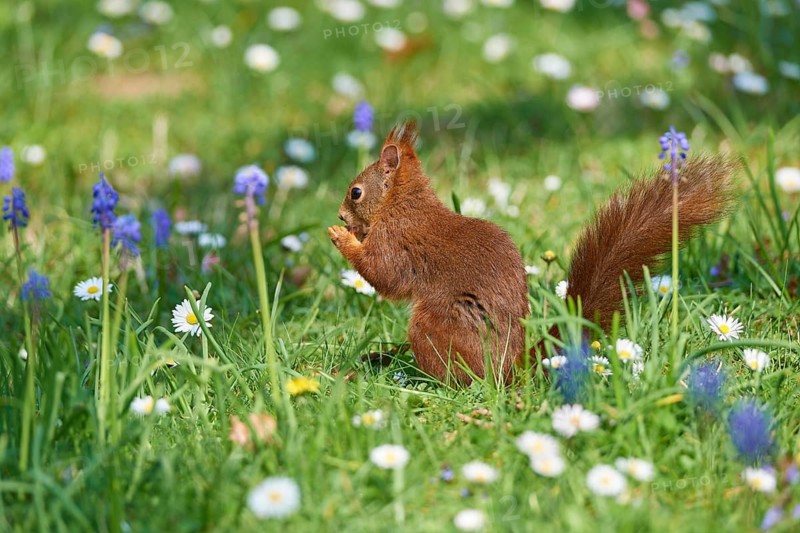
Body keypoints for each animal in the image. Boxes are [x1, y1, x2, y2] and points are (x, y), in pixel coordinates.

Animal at [328, 121, 735, 386]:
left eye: (356, 192)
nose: (341, 216)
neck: (401, 203)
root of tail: (512, 367)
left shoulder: (396, 240)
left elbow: (384, 275)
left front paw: (341, 237)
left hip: (436, 326)